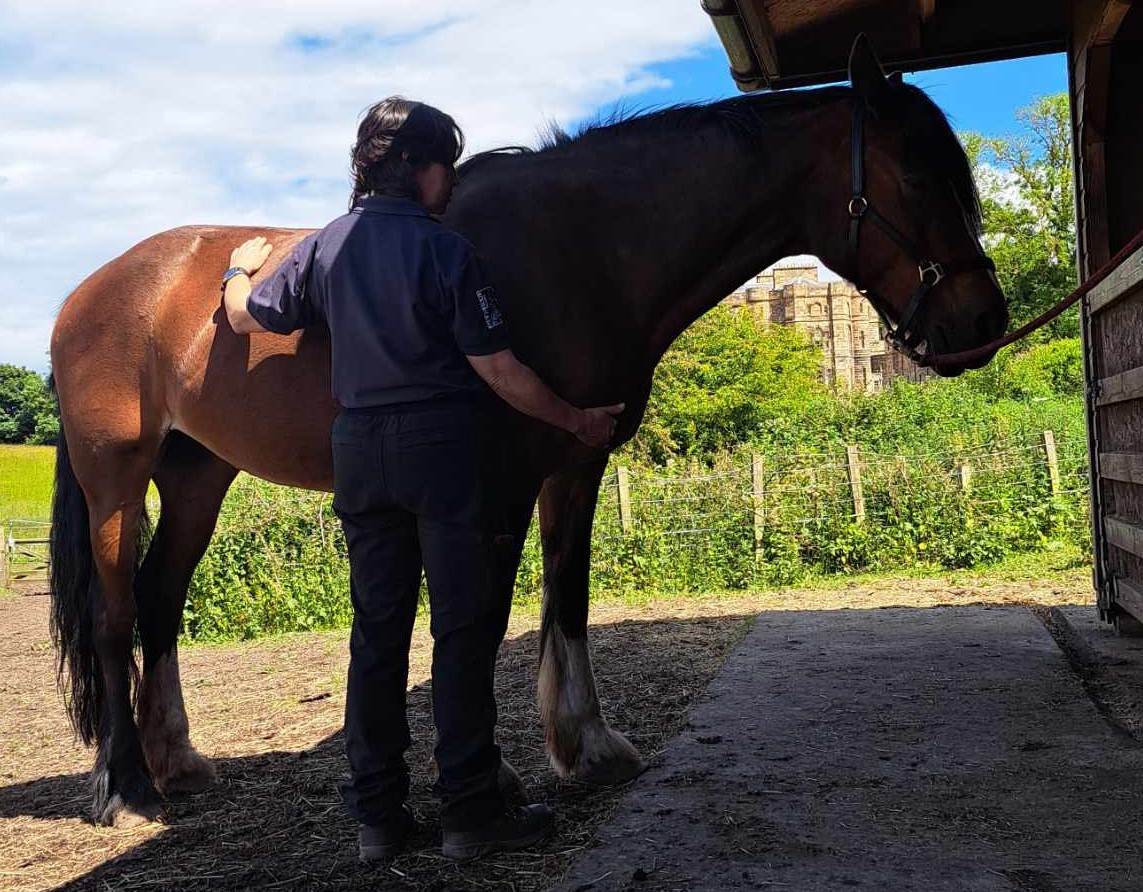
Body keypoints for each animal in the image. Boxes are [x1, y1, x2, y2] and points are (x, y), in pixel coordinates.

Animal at [48, 36, 1006, 827]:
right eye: (919, 178)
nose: (982, 321)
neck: (576, 249)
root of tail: (96, 287)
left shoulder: (574, 465)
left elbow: (565, 597)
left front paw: (587, 745)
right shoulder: (497, 485)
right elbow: (483, 618)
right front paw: (504, 774)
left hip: (199, 477)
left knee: (160, 601)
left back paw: (177, 761)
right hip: (115, 483)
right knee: (114, 612)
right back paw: (125, 788)